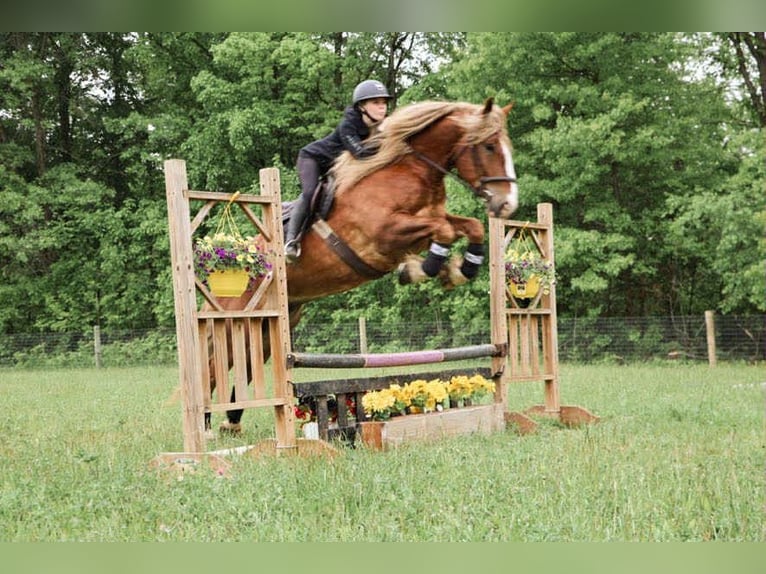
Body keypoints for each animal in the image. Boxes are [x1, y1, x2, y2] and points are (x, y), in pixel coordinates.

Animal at [210, 98, 519, 433]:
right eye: (489, 146)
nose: (507, 205)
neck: (411, 170)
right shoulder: (385, 233)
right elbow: (445, 232)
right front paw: (423, 269)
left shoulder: (425, 225)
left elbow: (470, 226)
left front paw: (457, 270)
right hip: (237, 318)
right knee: (215, 362)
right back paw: (207, 425)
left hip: (274, 321)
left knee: (247, 363)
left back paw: (231, 422)